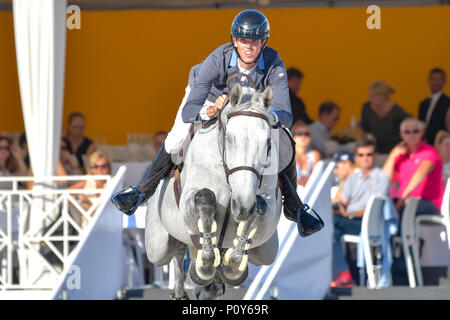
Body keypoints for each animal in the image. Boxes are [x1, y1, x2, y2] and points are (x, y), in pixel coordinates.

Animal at [145, 83, 282, 300]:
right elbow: (205, 197)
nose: (243, 206)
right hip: (157, 246)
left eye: (268, 143)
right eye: (229, 139)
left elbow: (259, 209)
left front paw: (234, 266)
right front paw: (206, 264)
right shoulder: (191, 198)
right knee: (177, 252)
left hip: (267, 251)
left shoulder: (265, 205)